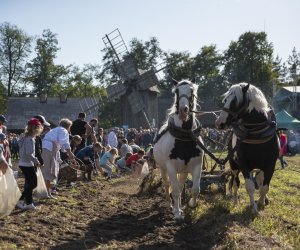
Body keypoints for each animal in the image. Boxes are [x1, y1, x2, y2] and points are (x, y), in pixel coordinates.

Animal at [155, 79, 204, 222]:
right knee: (167, 184)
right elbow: (175, 191)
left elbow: (195, 189)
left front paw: (191, 204)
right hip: (163, 168)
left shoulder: (197, 165)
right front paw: (177, 213)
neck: (185, 138)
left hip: (183, 170)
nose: (183, 110)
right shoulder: (171, 168)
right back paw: (170, 203)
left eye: (191, 91)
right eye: (176, 92)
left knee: (181, 185)